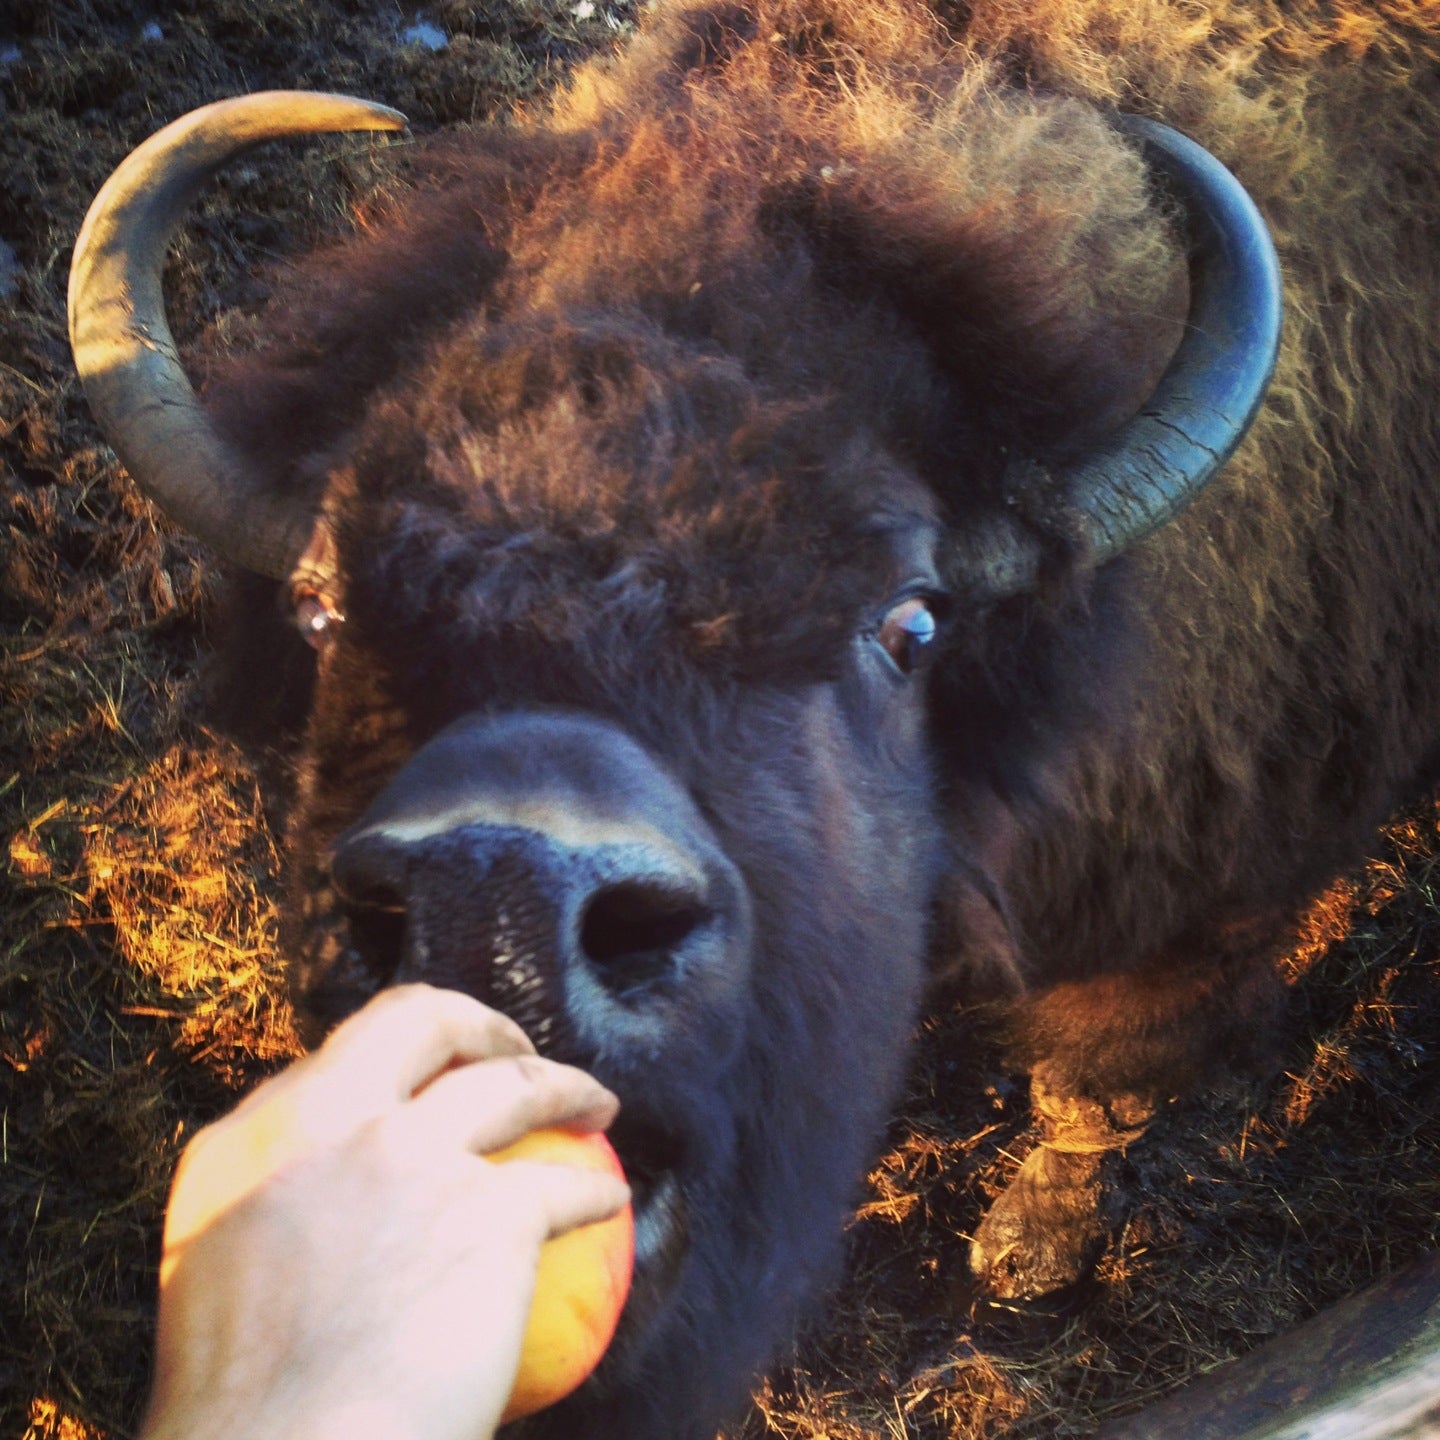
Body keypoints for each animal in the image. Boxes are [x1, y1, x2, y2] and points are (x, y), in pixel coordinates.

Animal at [64, 0, 1440, 1434]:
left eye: (910, 626)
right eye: (323, 603)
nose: (498, 913)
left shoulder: (1204, 898)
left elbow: (1100, 1085)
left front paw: (1023, 1259)